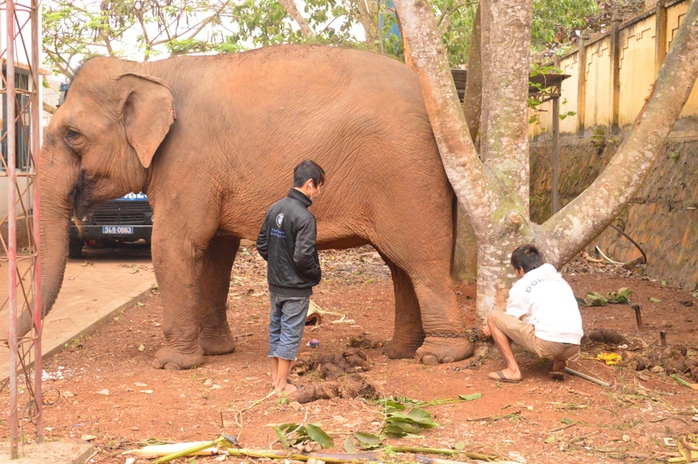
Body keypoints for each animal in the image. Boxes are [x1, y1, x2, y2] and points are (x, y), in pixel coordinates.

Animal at [25, 44, 474, 370]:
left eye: (73, 134)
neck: (150, 69)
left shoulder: (188, 160)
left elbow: (176, 246)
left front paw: (171, 364)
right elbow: (215, 252)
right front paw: (216, 350)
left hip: (409, 173)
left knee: (420, 260)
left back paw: (439, 355)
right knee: (399, 266)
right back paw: (397, 351)